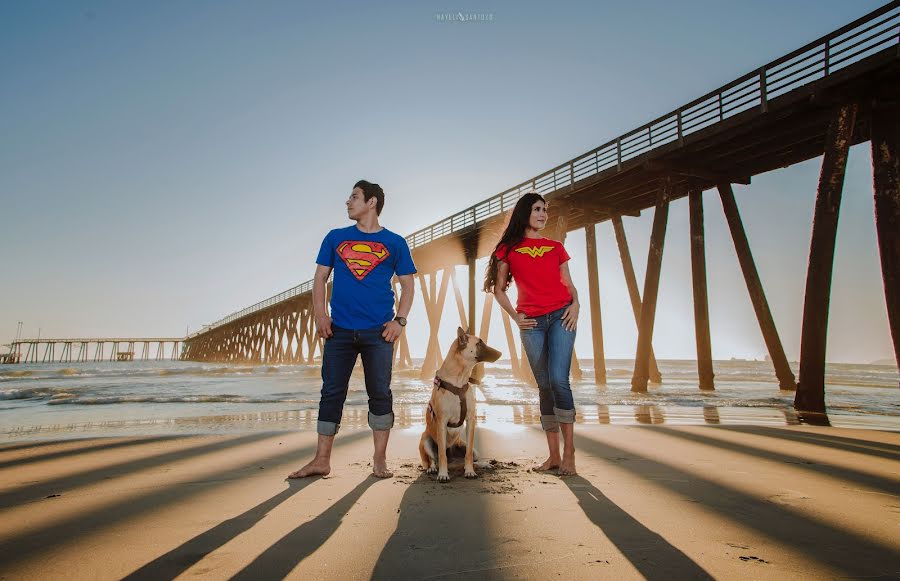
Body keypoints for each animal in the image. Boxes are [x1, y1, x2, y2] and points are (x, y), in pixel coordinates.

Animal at [420, 326, 502, 480]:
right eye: (479, 343)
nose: (500, 353)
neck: (459, 379)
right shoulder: (441, 422)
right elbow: (442, 454)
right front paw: (443, 474)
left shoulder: (471, 420)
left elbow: (468, 454)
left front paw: (469, 471)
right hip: (426, 439)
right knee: (432, 459)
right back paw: (433, 469)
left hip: (469, 448)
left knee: (471, 457)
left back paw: (483, 464)